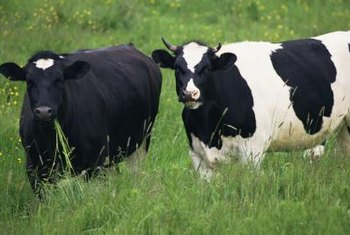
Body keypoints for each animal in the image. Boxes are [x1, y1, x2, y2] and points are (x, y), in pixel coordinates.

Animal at [0, 44, 161, 195]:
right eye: (30, 82)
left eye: (60, 80)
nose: (44, 111)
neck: (51, 139)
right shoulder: (34, 166)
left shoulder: (95, 160)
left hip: (141, 141)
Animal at [152, 30, 350, 178]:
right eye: (177, 68)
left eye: (207, 68)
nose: (189, 94)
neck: (209, 127)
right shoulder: (198, 153)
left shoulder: (253, 151)